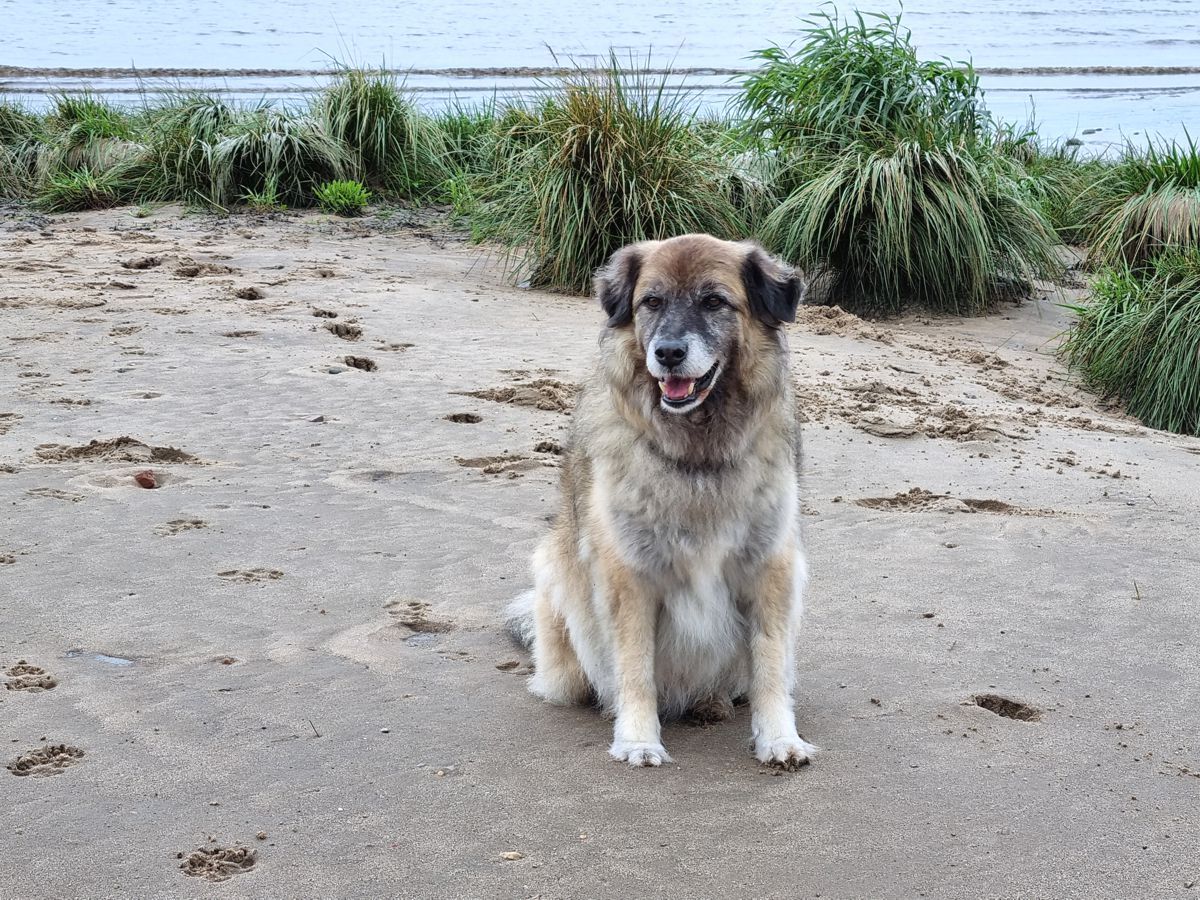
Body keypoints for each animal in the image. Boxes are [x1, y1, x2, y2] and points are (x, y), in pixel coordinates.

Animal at [506, 236, 816, 772]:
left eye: (714, 301)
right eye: (651, 302)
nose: (668, 353)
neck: (696, 454)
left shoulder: (771, 569)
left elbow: (770, 665)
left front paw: (779, 738)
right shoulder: (629, 577)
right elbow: (635, 667)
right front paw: (637, 740)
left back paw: (712, 703)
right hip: (554, 577)